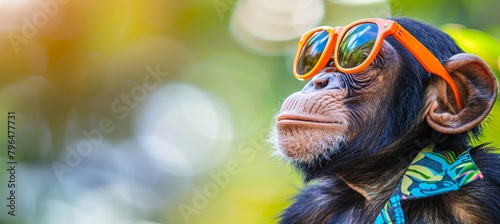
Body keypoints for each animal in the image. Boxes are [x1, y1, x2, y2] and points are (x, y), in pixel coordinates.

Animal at [272, 16, 498, 223]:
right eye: (322, 62)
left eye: (361, 60)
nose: (319, 81)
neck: (376, 187)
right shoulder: (309, 207)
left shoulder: (486, 183)